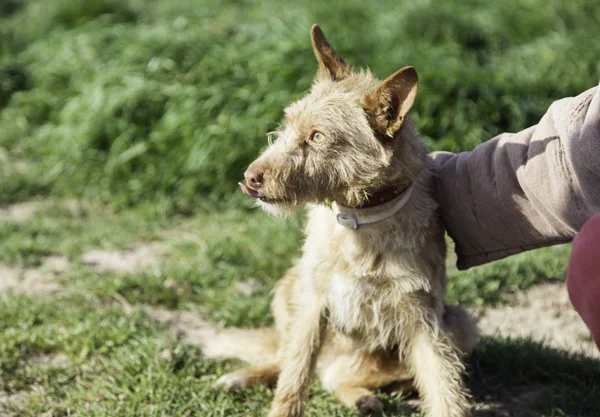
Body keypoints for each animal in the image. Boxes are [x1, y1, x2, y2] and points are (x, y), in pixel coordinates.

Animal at [212, 24, 478, 414]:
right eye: (287, 125)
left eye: (318, 137)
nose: (250, 177)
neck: (360, 221)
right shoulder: (313, 303)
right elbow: (294, 374)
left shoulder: (423, 318)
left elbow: (443, 386)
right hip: (289, 285)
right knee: (287, 361)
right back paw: (243, 377)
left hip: (460, 323)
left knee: (339, 380)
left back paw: (364, 397)